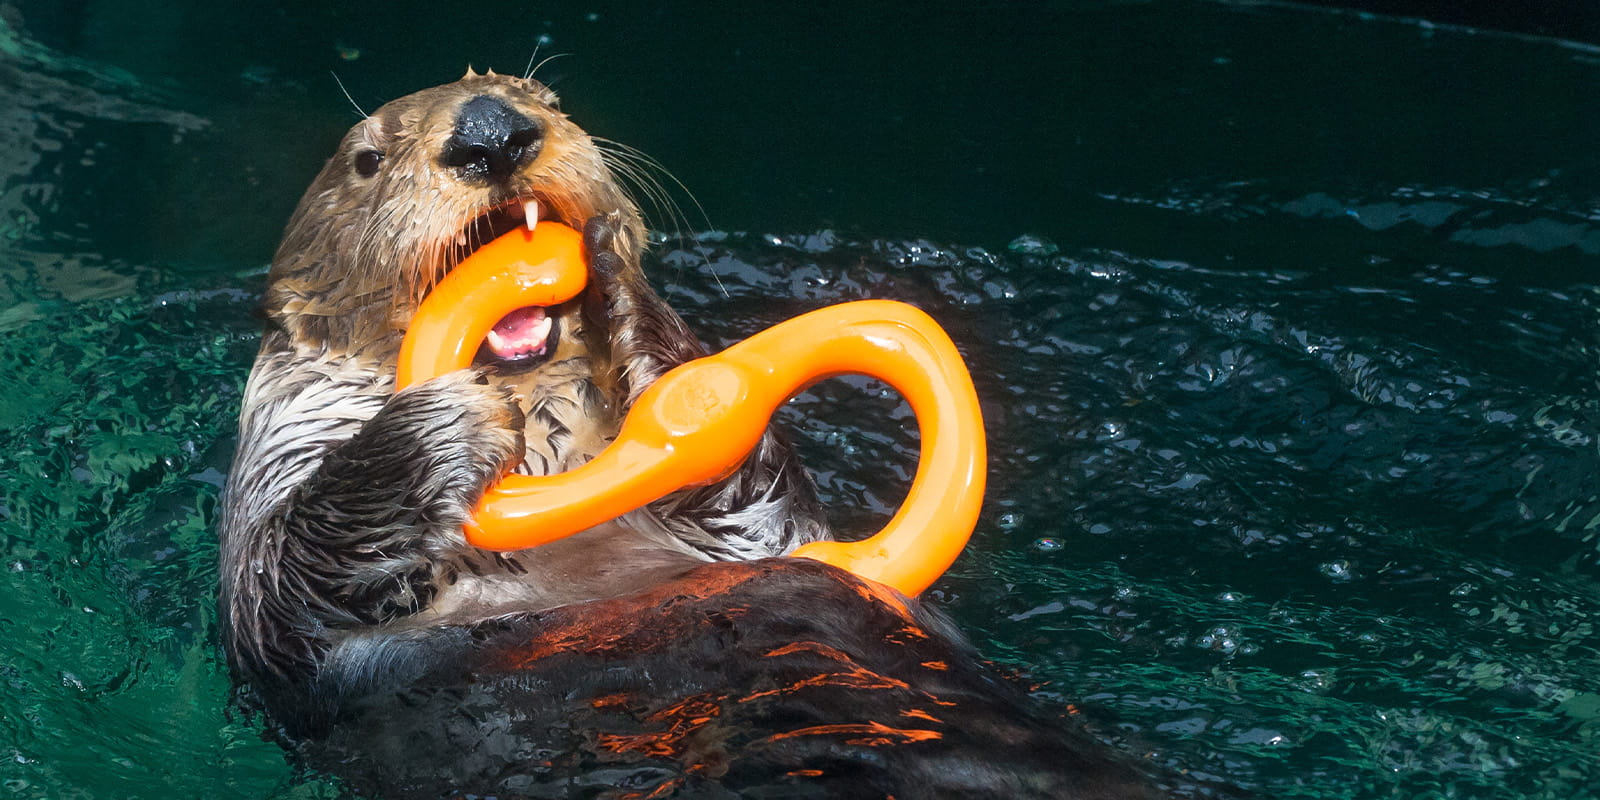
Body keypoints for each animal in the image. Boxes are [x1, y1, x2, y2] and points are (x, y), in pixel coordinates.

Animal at [216, 72, 1164, 796]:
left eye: (542, 94)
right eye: (368, 161)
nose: (492, 131)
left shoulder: (763, 534)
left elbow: (754, 497)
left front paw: (627, 296)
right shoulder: (279, 518)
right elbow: (290, 576)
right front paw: (446, 422)